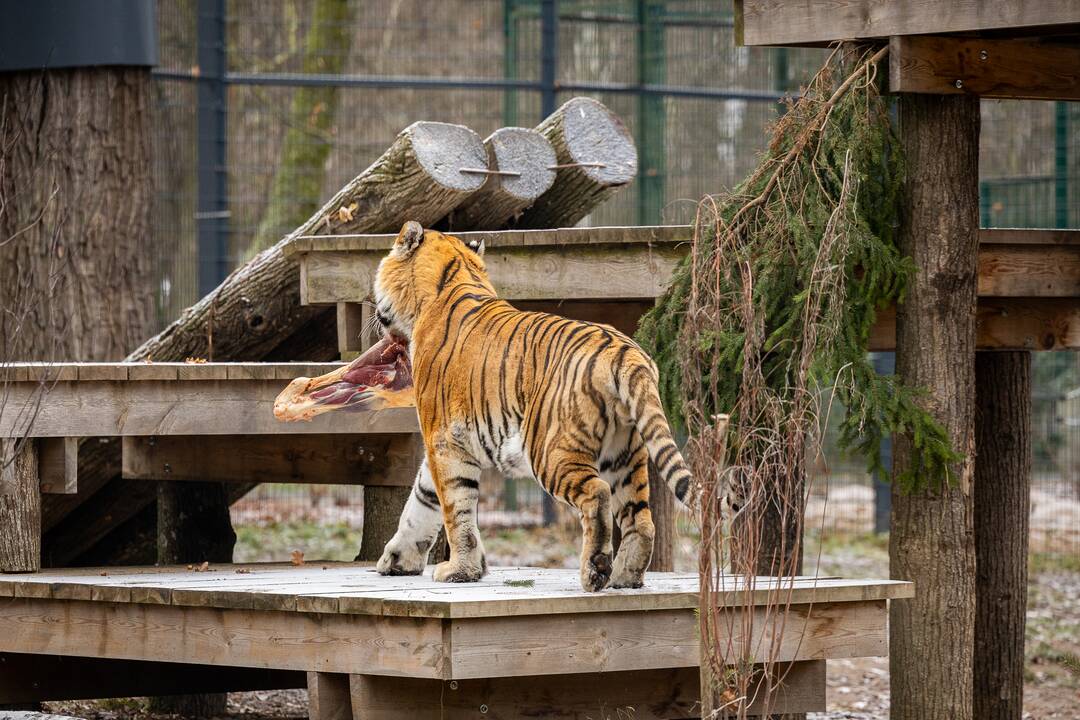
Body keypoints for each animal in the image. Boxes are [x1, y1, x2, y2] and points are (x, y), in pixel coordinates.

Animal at [367, 221, 691, 591]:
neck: (454, 279)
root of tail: (626, 351)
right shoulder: (445, 445)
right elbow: (422, 500)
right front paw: (397, 560)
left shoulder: (444, 440)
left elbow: (454, 510)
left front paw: (460, 570)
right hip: (624, 454)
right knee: (641, 517)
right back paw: (625, 577)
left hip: (550, 451)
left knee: (597, 494)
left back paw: (596, 569)